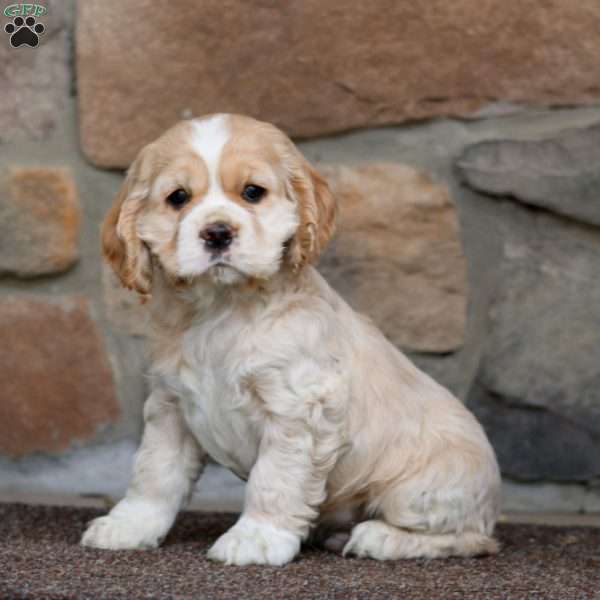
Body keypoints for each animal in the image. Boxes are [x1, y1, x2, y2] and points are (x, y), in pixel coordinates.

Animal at [81, 113, 502, 568]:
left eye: (253, 192)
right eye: (178, 198)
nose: (217, 233)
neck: (221, 309)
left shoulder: (298, 409)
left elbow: (275, 479)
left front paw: (256, 538)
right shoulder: (170, 405)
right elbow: (154, 472)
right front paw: (129, 526)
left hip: (421, 490)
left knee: (471, 538)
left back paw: (379, 537)